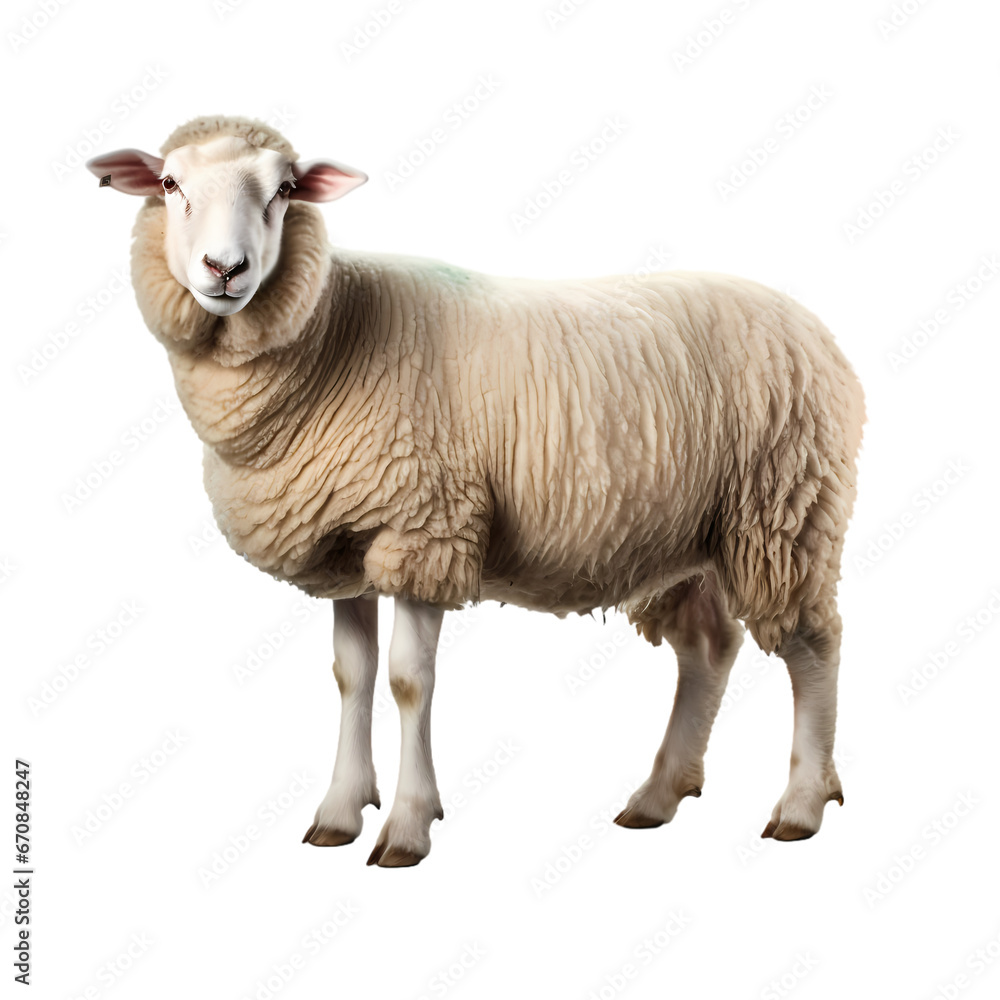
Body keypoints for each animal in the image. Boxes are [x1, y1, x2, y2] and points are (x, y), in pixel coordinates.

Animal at [88, 115, 865, 867]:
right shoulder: (347, 541)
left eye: (284, 190)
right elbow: (351, 675)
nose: (225, 270)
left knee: (815, 646)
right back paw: (658, 795)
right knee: (707, 647)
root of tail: (818, 332)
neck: (335, 334)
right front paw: (339, 812)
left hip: (786, 510)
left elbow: (407, 681)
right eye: (169, 184)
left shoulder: (424, 527)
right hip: (701, 533)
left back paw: (801, 804)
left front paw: (406, 827)